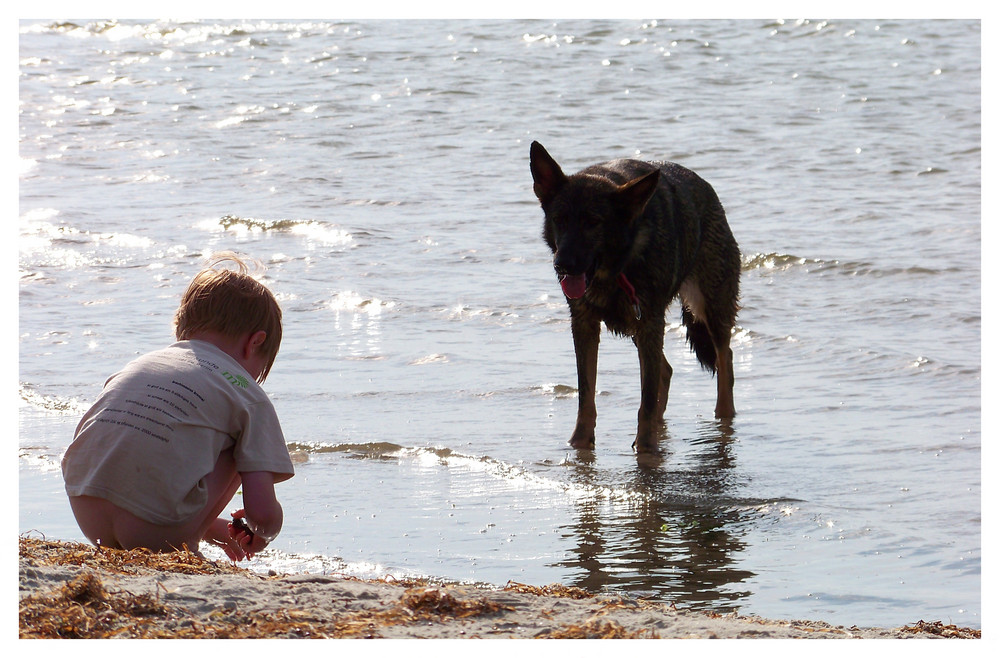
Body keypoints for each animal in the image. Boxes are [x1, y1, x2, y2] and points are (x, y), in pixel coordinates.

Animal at [532, 142, 744, 452]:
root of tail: (708, 190)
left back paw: (723, 418)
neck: (616, 267)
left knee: (723, 358)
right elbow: (586, 394)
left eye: (593, 222)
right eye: (560, 220)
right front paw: (580, 443)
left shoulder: (649, 324)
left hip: (708, 308)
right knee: (666, 371)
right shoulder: (585, 325)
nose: (563, 265)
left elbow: (645, 399)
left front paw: (645, 448)